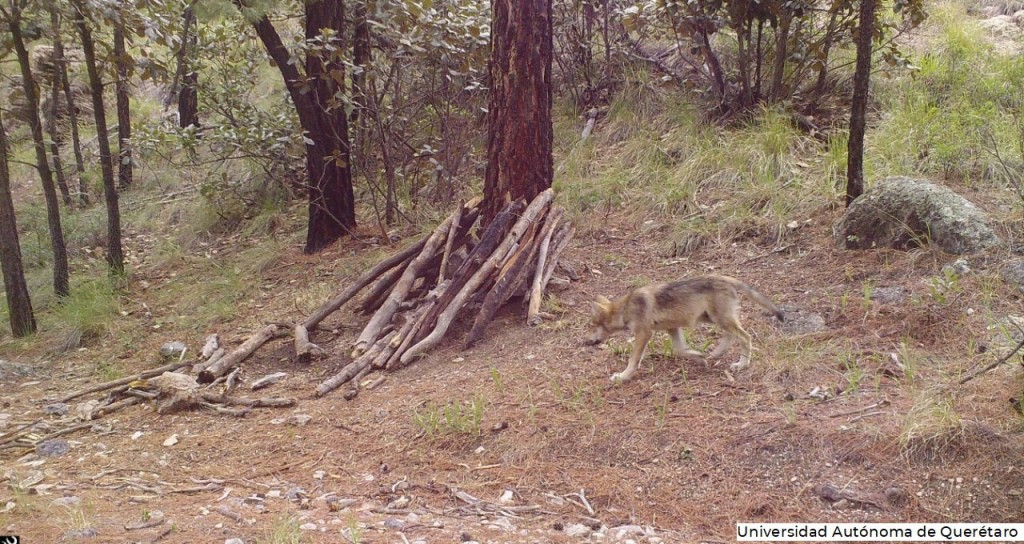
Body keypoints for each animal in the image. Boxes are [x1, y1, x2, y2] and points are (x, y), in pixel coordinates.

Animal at [585, 276, 782, 383]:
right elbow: (680, 350)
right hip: (713, 319)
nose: (584, 342)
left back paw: (742, 364)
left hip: (719, 319)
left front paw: (622, 377)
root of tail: (724, 278)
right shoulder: (672, 328)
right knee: (732, 336)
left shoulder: (644, 334)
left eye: (591, 326)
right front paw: (699, 358)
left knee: (745, 337)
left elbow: (633, 361)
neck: (625, 308)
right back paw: (716, 353)